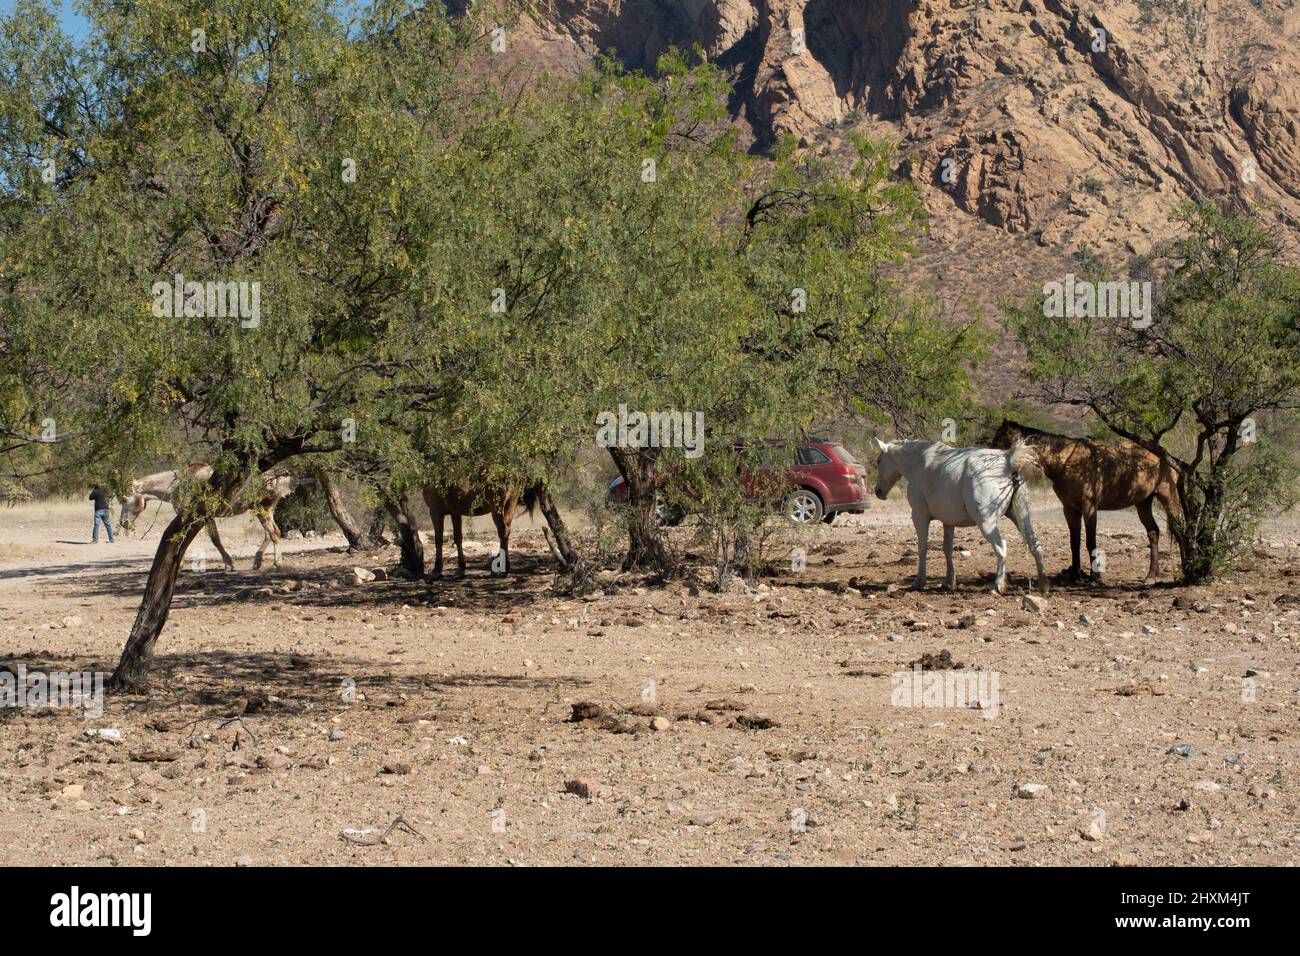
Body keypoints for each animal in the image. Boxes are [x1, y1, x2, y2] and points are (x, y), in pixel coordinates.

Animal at [118, 468, 297, 572]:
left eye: (124, 499)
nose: (123, 523)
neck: (176, 484)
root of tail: (281, 476)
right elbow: (213, 539)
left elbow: (208, 539)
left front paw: (228, 564)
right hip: (265, 510)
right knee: (272, 533)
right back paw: (258, 562)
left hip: (262, 509)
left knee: (273, 534)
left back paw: (277, 563)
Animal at [873, 442, 1045, 598]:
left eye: (879, 460)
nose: (878, 491)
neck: (918, 462)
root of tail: (1008, 461)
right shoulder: (948, 522)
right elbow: (947, 549)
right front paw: (949, 581)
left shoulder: (919, 516)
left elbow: (922, 548)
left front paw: (919, 581)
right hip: (1021, 517)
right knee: (1035, 546)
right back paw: (1043, 584)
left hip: (987, 523)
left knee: (1001, 548)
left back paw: (997, 587)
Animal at [987, 421, 1185, 582]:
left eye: (998, 441)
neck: (1068, 461)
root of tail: (1166, 457)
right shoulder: (1069, 508)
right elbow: (1074, 542)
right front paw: (1075, 574)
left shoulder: (1089, 507)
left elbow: (1091, 541)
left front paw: (1095, 576)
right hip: (1143, 502)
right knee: (1153, 533)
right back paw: (1151, 575)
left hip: (1168, 496)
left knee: (1179, 530)